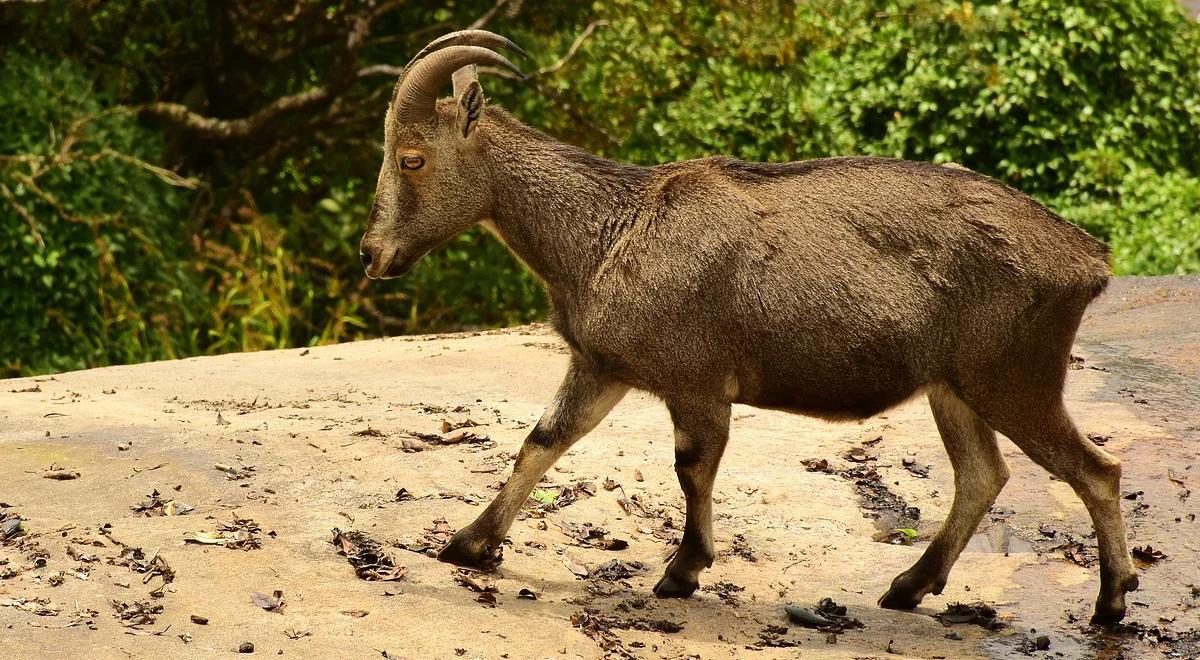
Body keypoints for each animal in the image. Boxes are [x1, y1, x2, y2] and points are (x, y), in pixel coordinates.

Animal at [360, 29, 1137, 624]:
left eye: (412, 157)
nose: (373, 255)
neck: (605, 231)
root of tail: (1088, 257)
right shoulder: (603, 367)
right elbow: (543, 442)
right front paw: (468, 543)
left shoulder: (696, 381)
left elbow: (691, 467)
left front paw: (682, 571)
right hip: (954, 388)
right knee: (982, 475)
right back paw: (908, 588)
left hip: (1013, 377)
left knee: (1096, 471)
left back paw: (1111, 602)